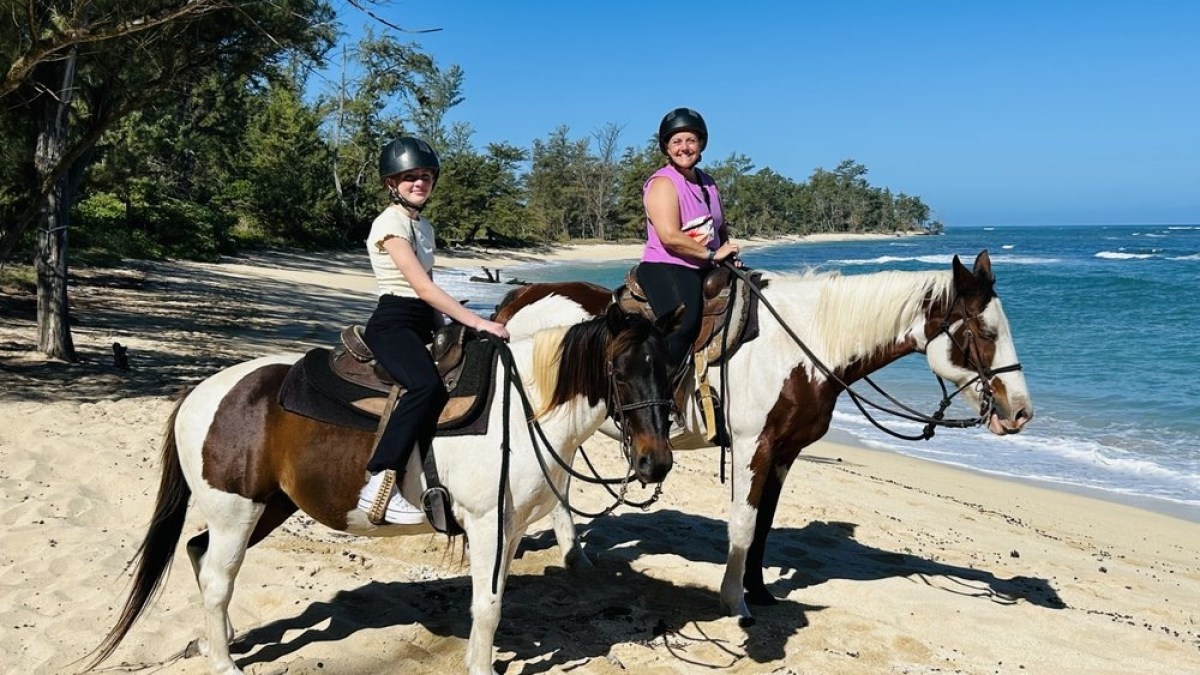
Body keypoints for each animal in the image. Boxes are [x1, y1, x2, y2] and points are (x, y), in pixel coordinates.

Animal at [86, 303, 681, 675]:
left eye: (672, 370)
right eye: (619, 371)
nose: (655, 463)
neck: (523, 407)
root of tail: (201, 393)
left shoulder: (509, 530)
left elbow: (494, 602)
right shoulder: (488, 524)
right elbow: (486, 607)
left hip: (267, 508)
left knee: (198, 553)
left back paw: (223, 639)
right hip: (238, 513)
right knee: (215, 577)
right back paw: (224, 661)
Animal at [491, 250, 1033, 626]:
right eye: (985, 334)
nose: (1021, 412)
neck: (807, 344)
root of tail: (522, 297)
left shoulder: (784, 451)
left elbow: (766, 525)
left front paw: (760, 590)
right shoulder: (755, 445)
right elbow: (744, 524)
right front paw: (735, 602)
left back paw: (575, 556)